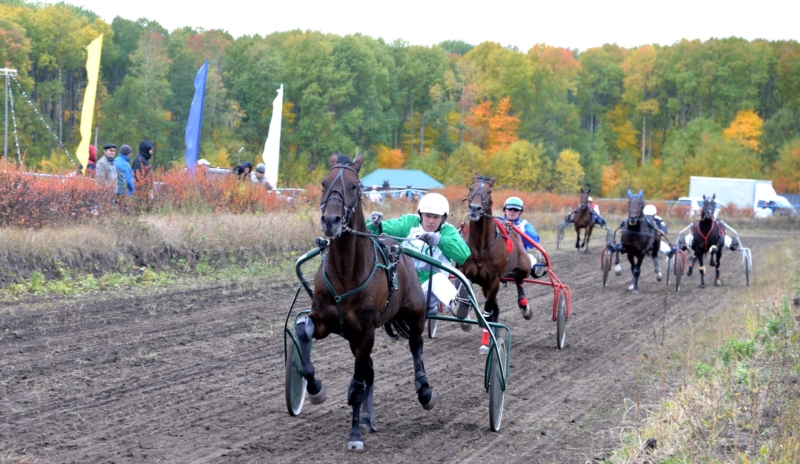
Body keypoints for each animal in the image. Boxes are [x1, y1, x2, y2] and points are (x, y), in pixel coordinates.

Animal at [294, 154, 434, 452]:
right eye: (324, 182)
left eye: (355, 186)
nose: (331, 220)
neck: (347, 272)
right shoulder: (325, 320)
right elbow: (303, 331)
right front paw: (315, 389)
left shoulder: (366, 331)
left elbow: (358, 385)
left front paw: (355, 434)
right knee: (369, 369)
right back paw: (369, 417)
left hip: (415, 310)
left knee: (416, 344)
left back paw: (424, 389)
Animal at [456, 173, 532, 352]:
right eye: (470, 187)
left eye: (489, 191)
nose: (475, 209)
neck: (481, 246)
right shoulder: (465, 270)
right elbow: (462, 286)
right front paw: (463, 313)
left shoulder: (494, 281)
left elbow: (486, 313)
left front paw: (485, 344)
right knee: (496, 309)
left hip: (524, 266)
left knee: (519, 279)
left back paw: (524, 306)